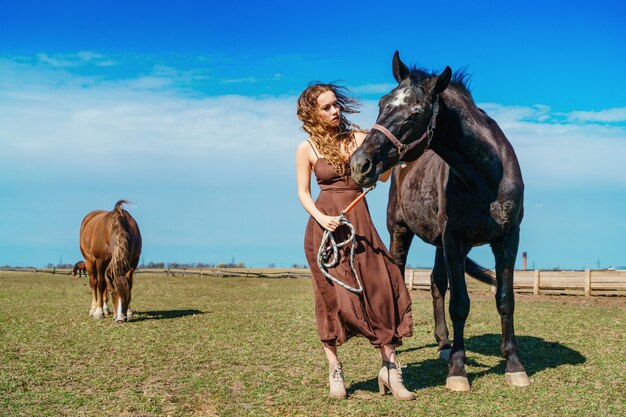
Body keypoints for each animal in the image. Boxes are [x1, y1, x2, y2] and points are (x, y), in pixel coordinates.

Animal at [352, 52, 528, 390]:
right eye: (382, 103)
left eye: (415, 114)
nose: (359, 163)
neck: (486, 177)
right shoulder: (454, 240)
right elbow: (460, 303)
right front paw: (458, 370)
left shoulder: (507, 239)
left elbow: (505, 298)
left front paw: (514, 363)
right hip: (401, 231)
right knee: (399, 273)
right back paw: (399, 343)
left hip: (438, 242)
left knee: (436, 283)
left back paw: (444, 344)